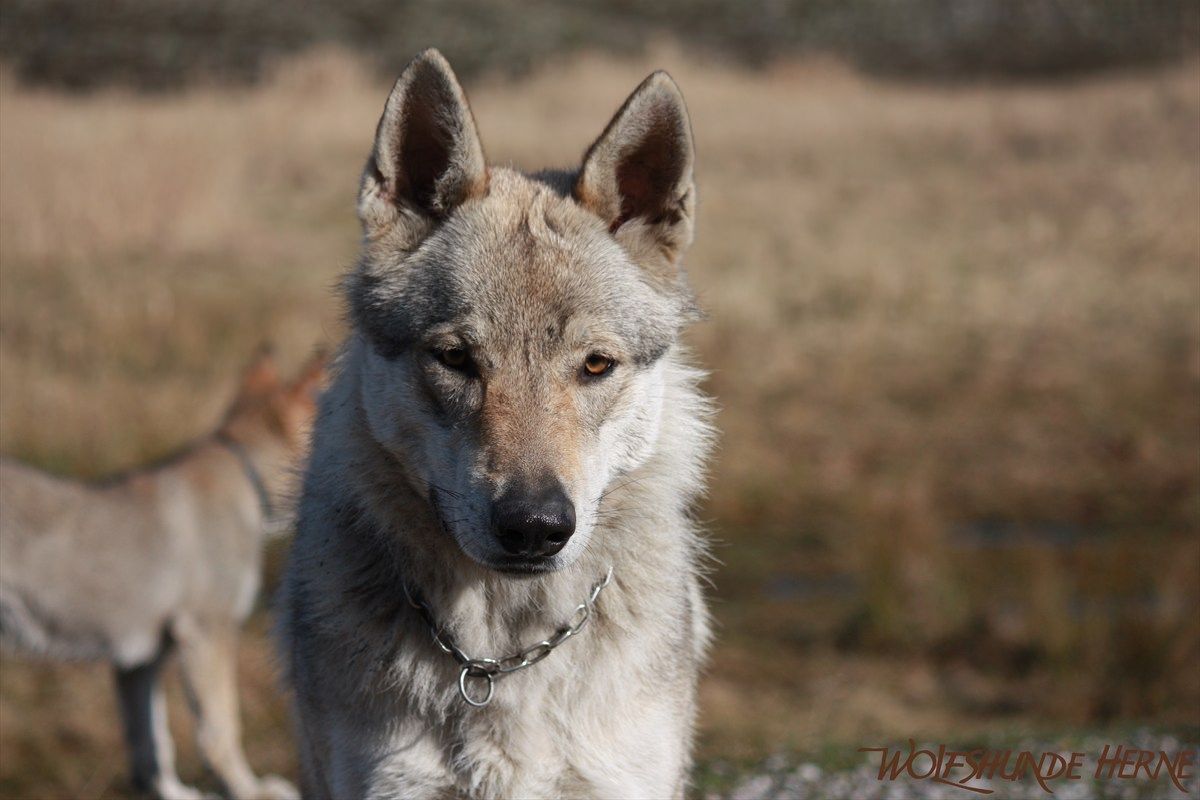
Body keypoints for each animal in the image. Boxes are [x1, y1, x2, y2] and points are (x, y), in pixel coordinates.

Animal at [0, 349, 322, 800]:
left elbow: (150, 749)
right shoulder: (208, 633)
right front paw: (251, 791)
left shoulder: (138, 661)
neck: (245, 479)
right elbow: (220, 731)